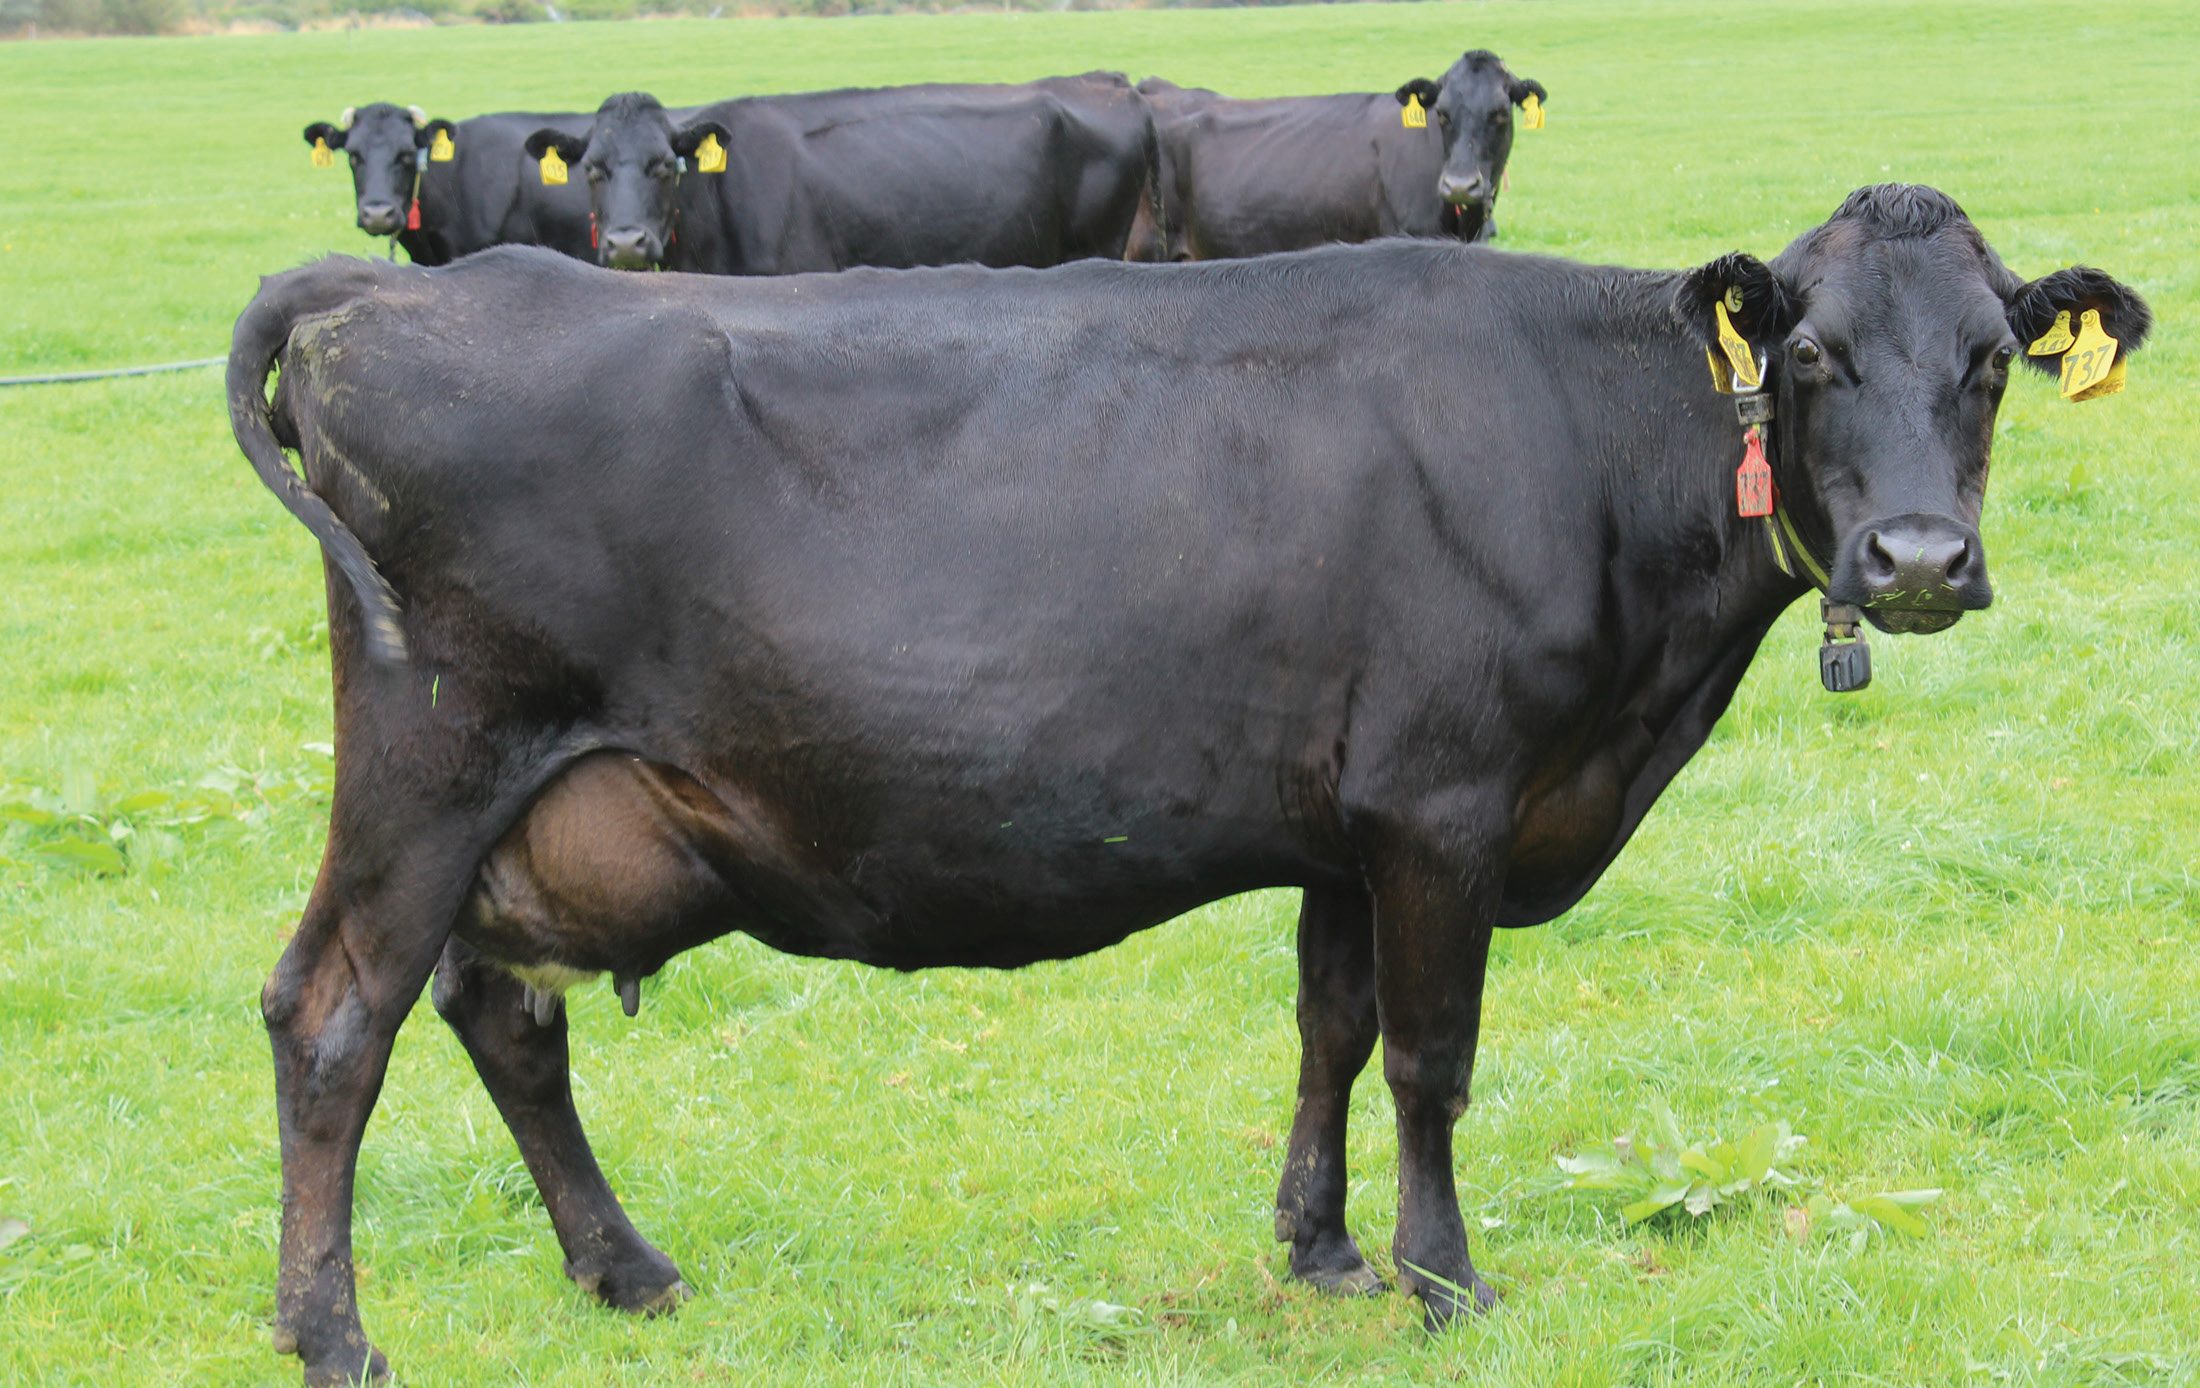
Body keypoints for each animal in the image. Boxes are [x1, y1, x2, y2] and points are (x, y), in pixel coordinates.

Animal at [228, 184, 2147, 1385]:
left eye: (1992, 361)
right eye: (1811, 355)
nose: (1918, 559)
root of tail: (394, 285)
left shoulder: (1348, 825)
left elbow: (1333, 1028)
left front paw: (1321, 1246)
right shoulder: (1445, 800)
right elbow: (1435, 1055)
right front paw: (1447, 1279)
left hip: (532, 813)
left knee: (498, 1015)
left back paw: (623, 1268)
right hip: (433, 758)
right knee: (335, 1017)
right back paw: (335, 1333)